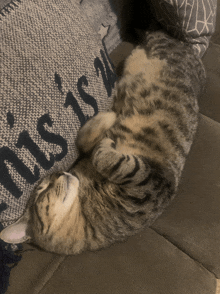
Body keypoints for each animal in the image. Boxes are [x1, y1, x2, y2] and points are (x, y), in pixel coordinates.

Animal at [0, 30, 206, 255]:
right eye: (41, 190)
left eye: (49, 180)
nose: (61, 173)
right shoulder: (148, 186)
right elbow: (113, 162)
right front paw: (108, 136)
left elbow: (86, 141)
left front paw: (108, 119)